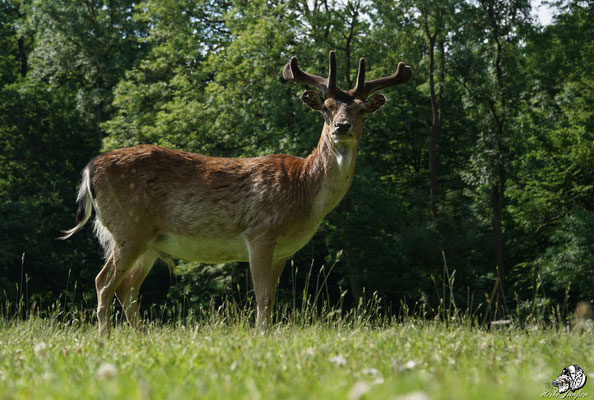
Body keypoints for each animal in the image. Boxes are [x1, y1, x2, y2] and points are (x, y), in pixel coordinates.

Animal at [61, 51, 412, 336]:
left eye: (362, 109)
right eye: (326, 107)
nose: (342, 126)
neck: (304, 191)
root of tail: (89, 170)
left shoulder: (284, 251)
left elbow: (271, 299)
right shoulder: (260, 233)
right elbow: (263, 297)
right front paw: (260, 338)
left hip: (147, 240)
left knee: (127, 288)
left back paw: (141, 338)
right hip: (128, 228)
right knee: (104, 282)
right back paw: (104, 340)